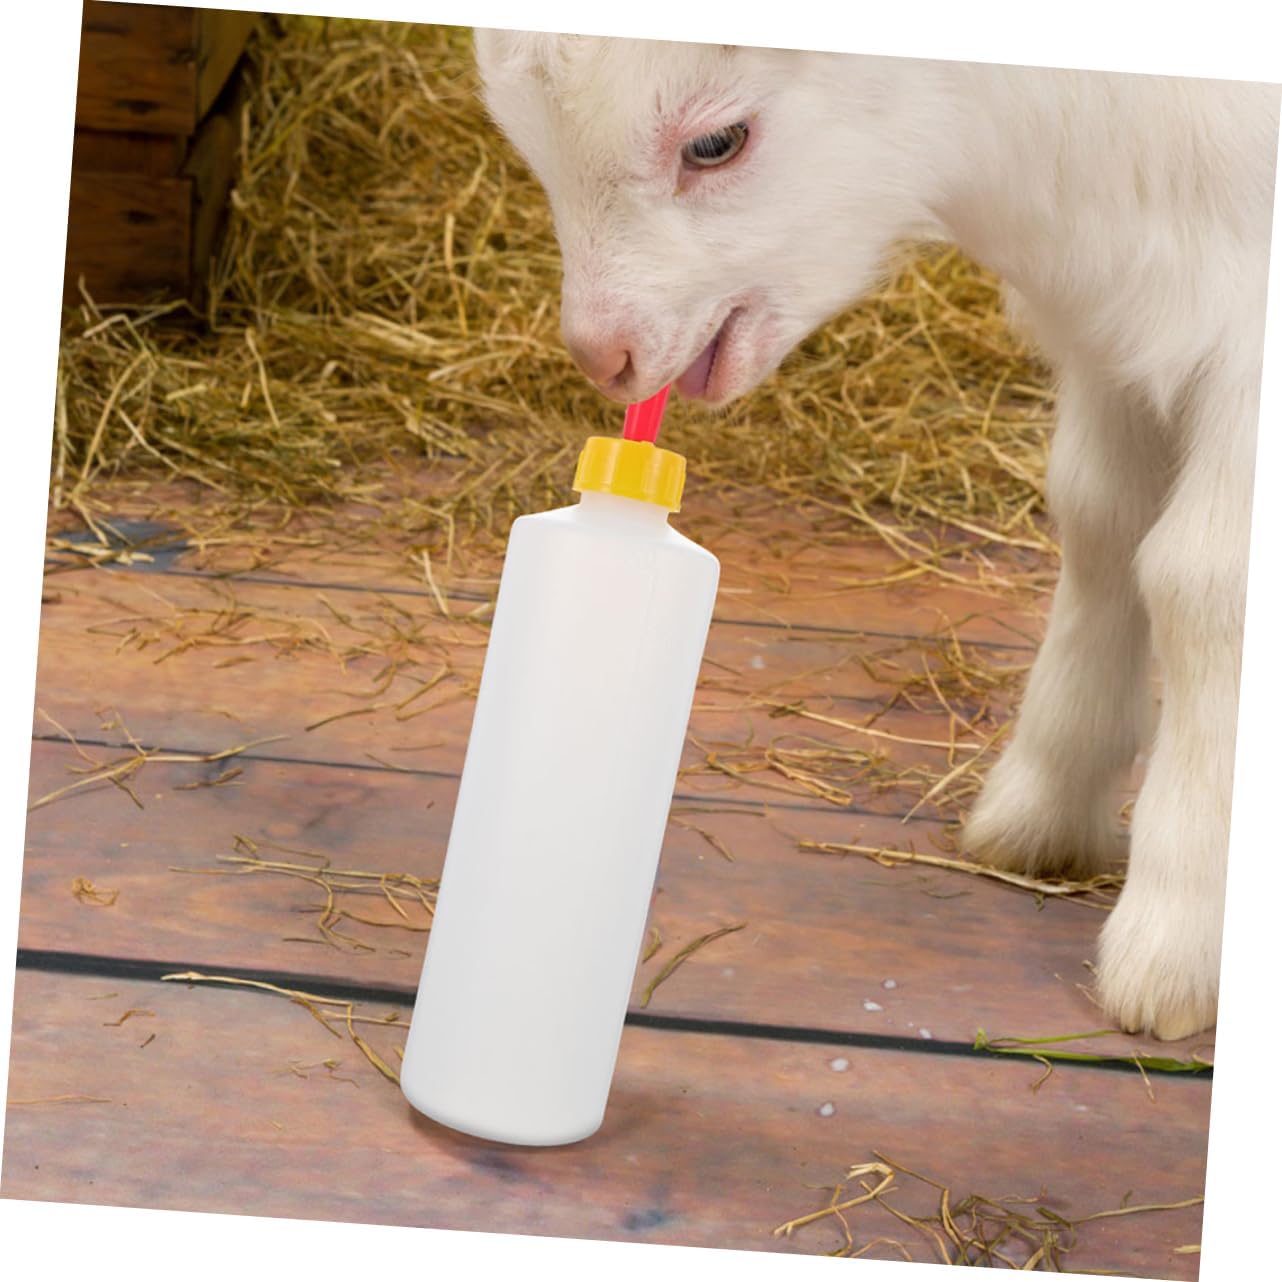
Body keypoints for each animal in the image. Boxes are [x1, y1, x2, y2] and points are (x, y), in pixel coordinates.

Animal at [473, 29, 1280, 1042]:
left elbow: (1205, 582)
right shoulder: (1125, 318)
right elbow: (1100, 521)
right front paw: (1044, 810)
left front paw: (1178, 941)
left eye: (716, 143)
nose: (604, 356)